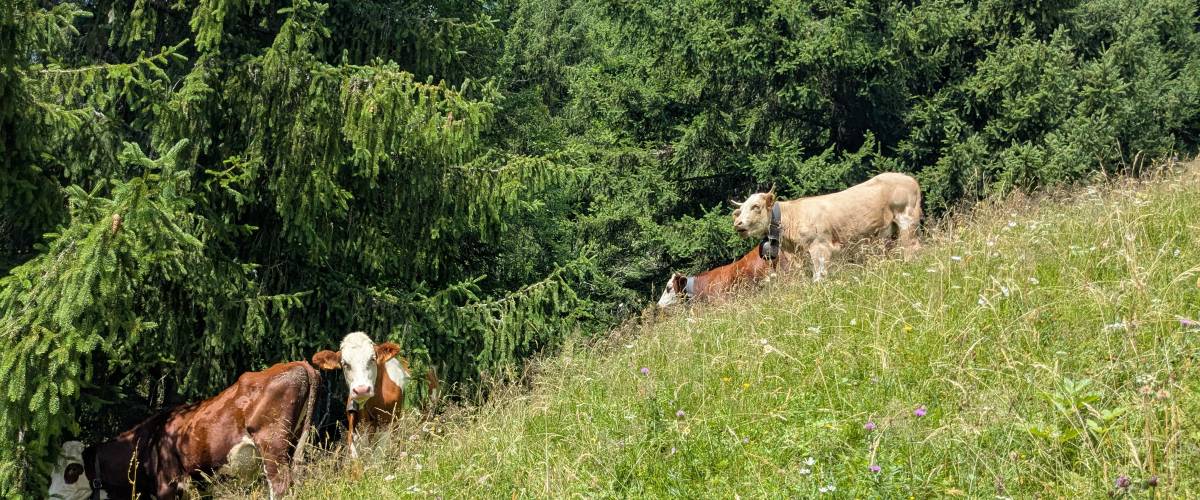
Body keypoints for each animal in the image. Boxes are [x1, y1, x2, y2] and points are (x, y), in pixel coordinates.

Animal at [47, 361, 319, 500]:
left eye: (72, 470)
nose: (50, 496)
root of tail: (299, 364)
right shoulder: (201, 483)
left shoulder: (168, 485)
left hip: (272, 446)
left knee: (279, 486)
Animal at [310, 332, 439, 458]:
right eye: (345, 363)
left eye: (372, 359)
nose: (362, 389)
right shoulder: (355, 427)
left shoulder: (388, 425)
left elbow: (378, 456)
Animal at [732, 172, 922, 281]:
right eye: (740, 210)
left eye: (756, 206)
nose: (737, 223)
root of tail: (909, 179)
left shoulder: (820, 246)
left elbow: (819, 277)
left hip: (907, 220)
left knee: (912, 248)